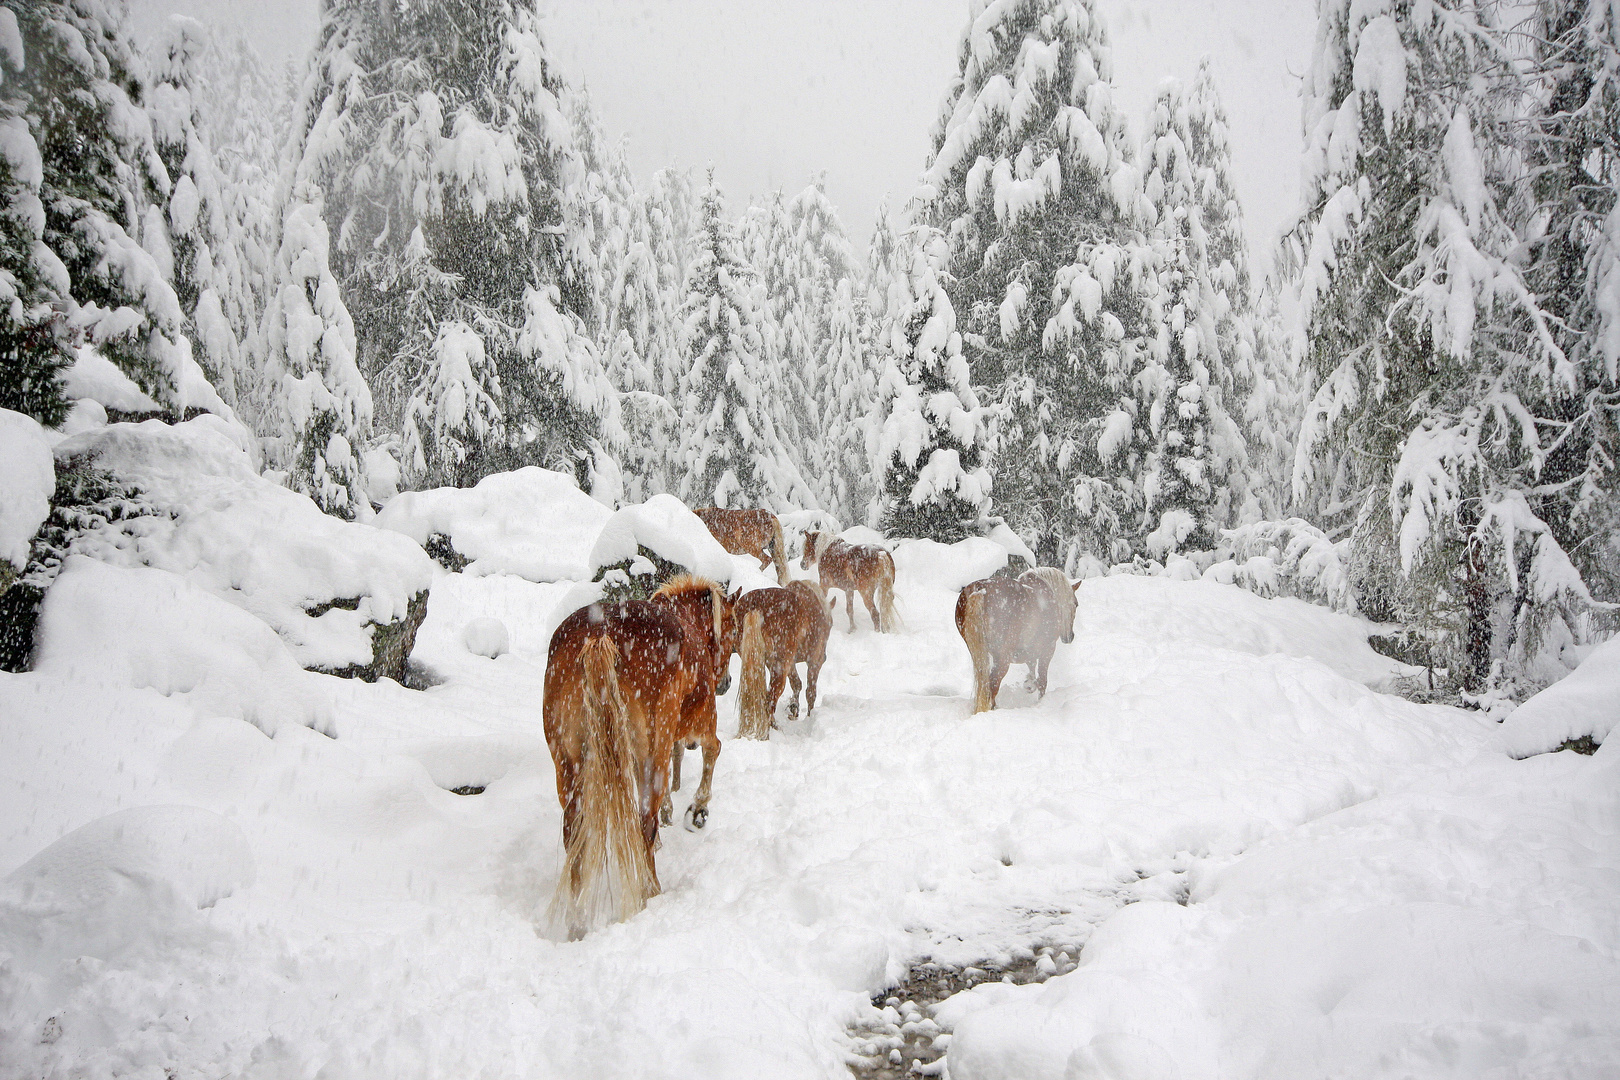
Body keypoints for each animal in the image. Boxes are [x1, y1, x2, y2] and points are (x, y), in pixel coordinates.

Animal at [547, 573, 738, 939]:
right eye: (734, 633)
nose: (725, 683)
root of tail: (600, 635)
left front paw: (672, 812)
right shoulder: (699, 723)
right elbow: (714, 749)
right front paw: (698, 810)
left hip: (567, 764)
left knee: (573, 832)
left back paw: (577, 919)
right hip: (651, 752)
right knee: (642, 823)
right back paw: (650, 891)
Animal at [738, 582, 835, 744]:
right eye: (831, 624)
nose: (825, 656)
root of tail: (757, 608)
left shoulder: (791, 663)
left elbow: (797, 683)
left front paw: (794, 708)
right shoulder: (814, 662)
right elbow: (810, 692)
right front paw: (809, 716)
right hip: (779, 665)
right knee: (769, 700)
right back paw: (767, 733)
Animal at [952, 569, 1082, 712]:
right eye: (1076, 604)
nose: (1069, 636)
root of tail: (980, 591)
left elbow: (1032, 667)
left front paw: (1029, 684)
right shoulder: (1048, 650)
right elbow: (1042, 681)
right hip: (1003, 659)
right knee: (992, 687)